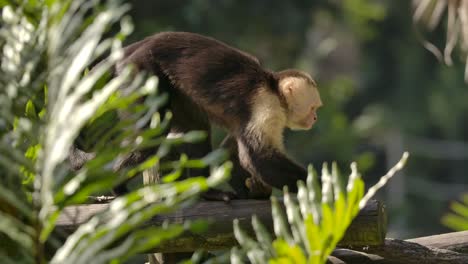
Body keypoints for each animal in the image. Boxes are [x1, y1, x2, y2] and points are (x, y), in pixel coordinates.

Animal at [70, 31, 322, 198]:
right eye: (313, 108)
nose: (315, 118)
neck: (272, 88)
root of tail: (137, 47)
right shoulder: (266, 107)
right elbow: (260, 158)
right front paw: (319, 188)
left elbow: (231, 152)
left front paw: (252, 191)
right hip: (141, 71)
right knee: (152, 133)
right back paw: (119, 185)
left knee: (197, 128)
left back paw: (208, 192)